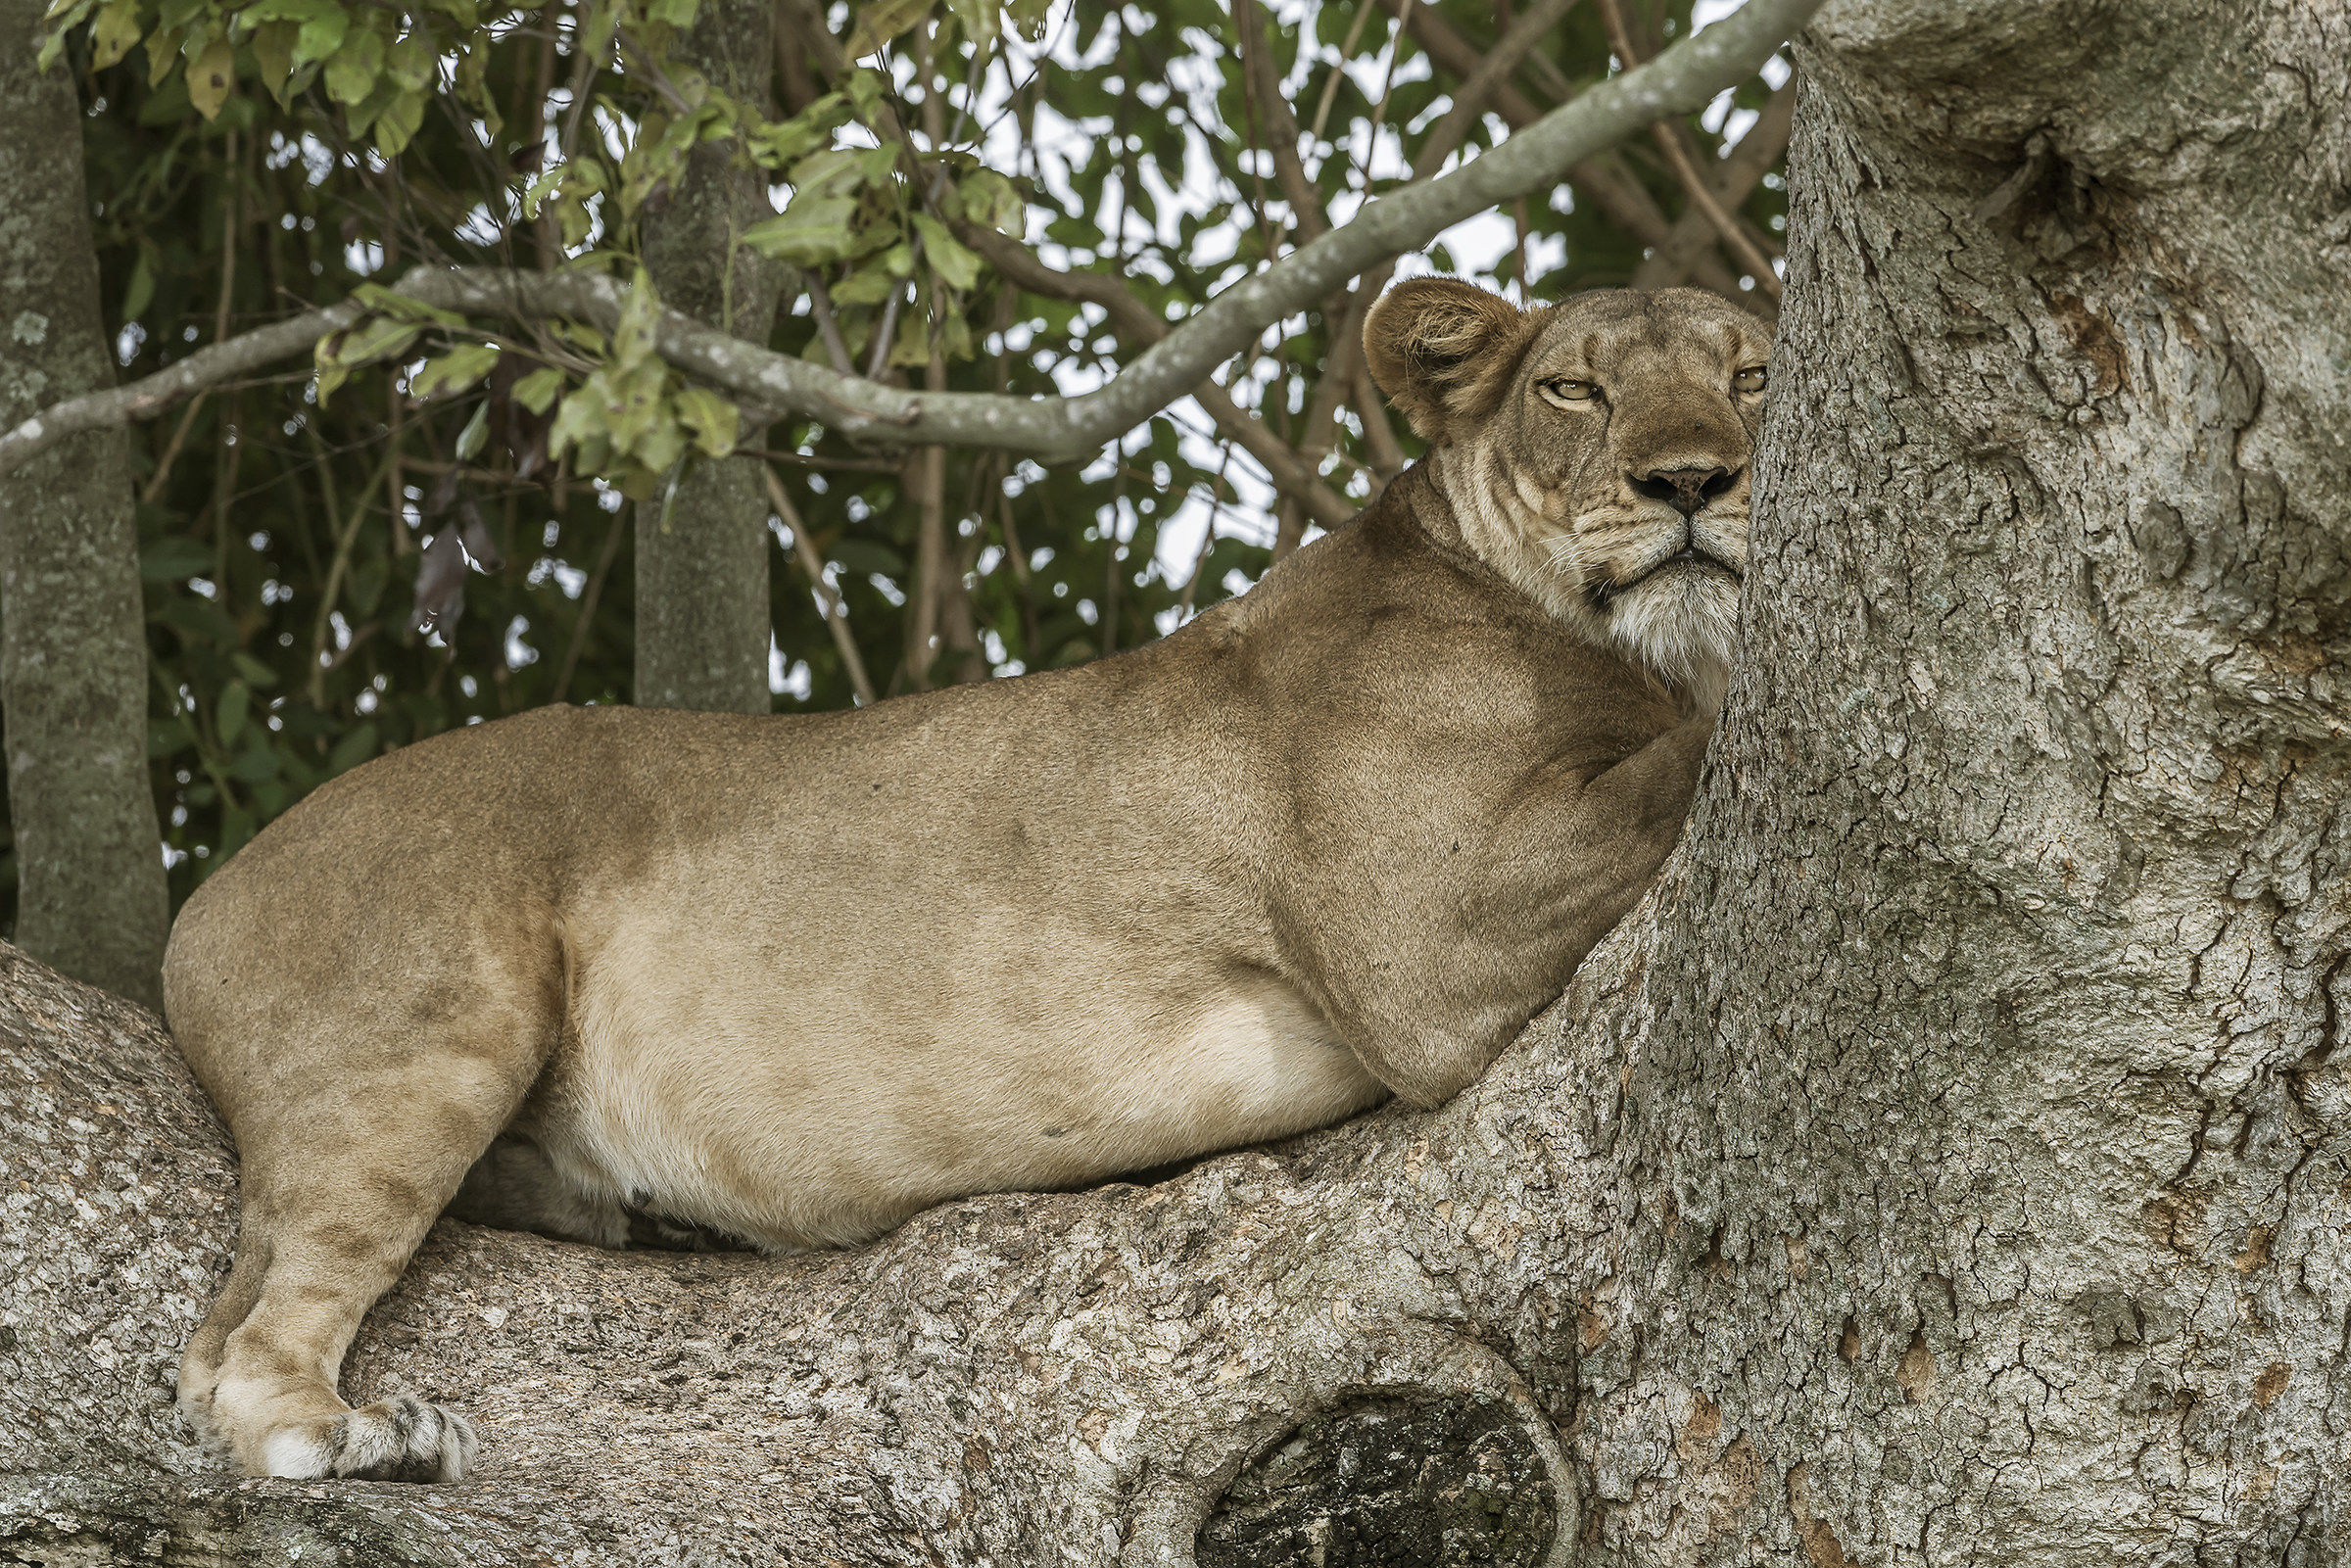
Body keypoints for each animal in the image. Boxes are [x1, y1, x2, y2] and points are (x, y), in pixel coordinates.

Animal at [162, 279, 1770, 1481]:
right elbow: (1696, 751)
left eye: (1754, 375)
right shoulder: (1425, 941)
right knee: (232, 1349)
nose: (1697, 481)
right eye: (1575, 391)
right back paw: (344, 1436)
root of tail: (204, 900)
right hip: (427, 1034)